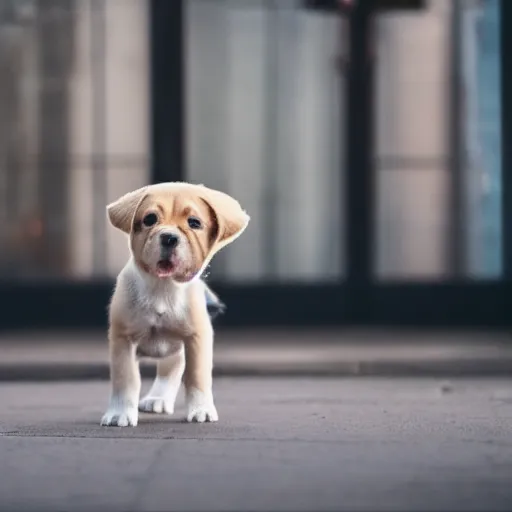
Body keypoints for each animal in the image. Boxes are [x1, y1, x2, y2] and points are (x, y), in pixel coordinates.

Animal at [100, 182, 250, 426]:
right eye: (150, 219)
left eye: (194, 223)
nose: (169, 237)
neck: (163, 286)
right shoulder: (123, 340)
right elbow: (126, 379)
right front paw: (119, 413)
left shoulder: (196, 339)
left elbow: (196, 377)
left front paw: (201, 410)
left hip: (176, 349)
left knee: (169, 370)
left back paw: (159, 399)